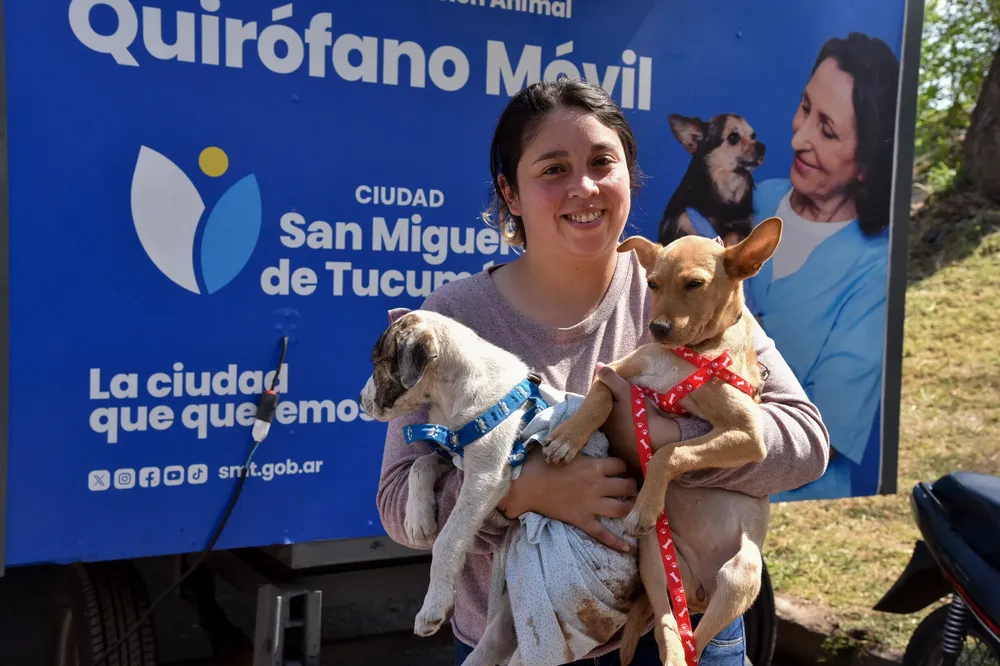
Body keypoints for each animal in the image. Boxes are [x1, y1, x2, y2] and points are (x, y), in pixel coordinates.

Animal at [540, 215, 780, 660]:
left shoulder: (749, 435)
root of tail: (699, 592)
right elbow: (599, 399)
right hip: (656, 561)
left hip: (741, 576)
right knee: (668, 627)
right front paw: (569, 436)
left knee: (692, 643)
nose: (657, 328)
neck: (687, 354)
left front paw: (646, 503)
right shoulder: (615, 373)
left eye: (695, 284)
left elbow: (670, 452)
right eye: (651, 283)